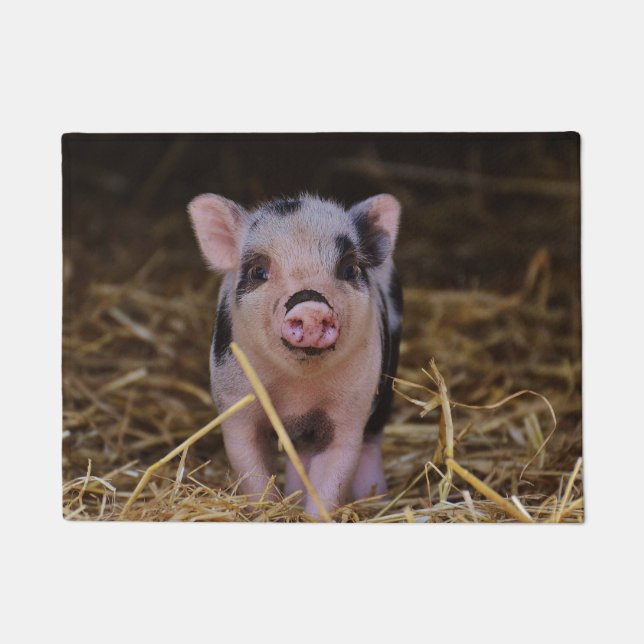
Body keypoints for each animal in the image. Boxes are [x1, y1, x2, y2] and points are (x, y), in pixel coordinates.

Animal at [188, 192, 403, 518]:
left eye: (349, 269)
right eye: (259, 271)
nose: (311, 306)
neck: (298, 391)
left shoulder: (350, 410)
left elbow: (334, 473)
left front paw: (311, 517)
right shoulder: (235, 403)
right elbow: (251, 471)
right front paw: (269, 513)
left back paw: (375, 500)